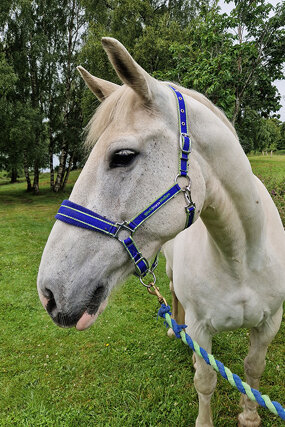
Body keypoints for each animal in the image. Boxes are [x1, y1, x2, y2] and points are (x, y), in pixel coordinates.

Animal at [37, 38, 284, 426]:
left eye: (122, 156)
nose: (48, 293)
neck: (242, 260)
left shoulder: (269, 325)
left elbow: (252, 370)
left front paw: (249, 417)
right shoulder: (202, 327)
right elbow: (206, 378)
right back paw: (176, 330)